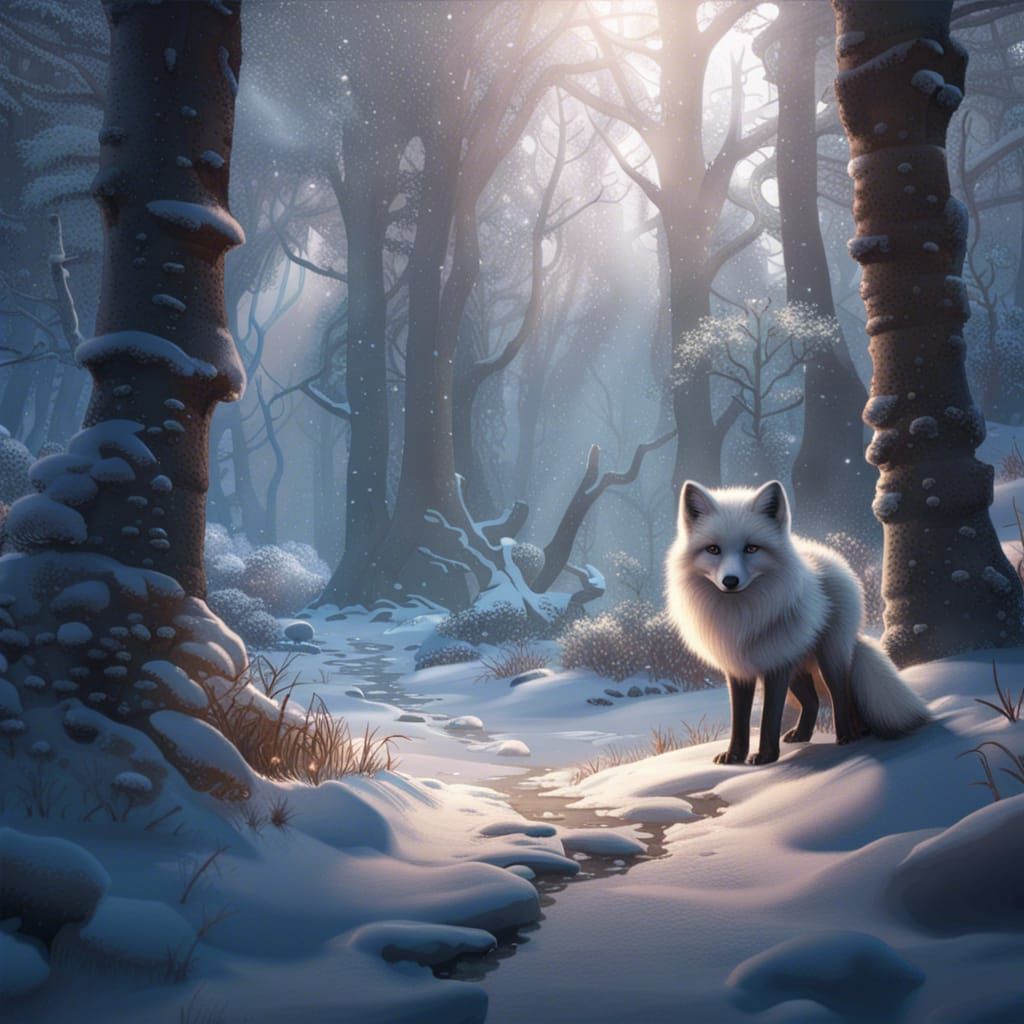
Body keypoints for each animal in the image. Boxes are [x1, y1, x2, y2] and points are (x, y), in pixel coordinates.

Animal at [665, 479, 930, 766]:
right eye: (713, 549)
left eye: (751, 548)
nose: (730, 581)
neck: (743, 616)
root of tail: (829, 556)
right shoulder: (740, 668)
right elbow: (739, 719)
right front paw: (735, 755)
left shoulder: (776, 666)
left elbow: (770, 717)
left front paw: (766, 756)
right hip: (796, 665)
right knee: (812, 701)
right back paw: (804, 735)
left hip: (828, 658)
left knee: (841, 694)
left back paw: (848, 736)